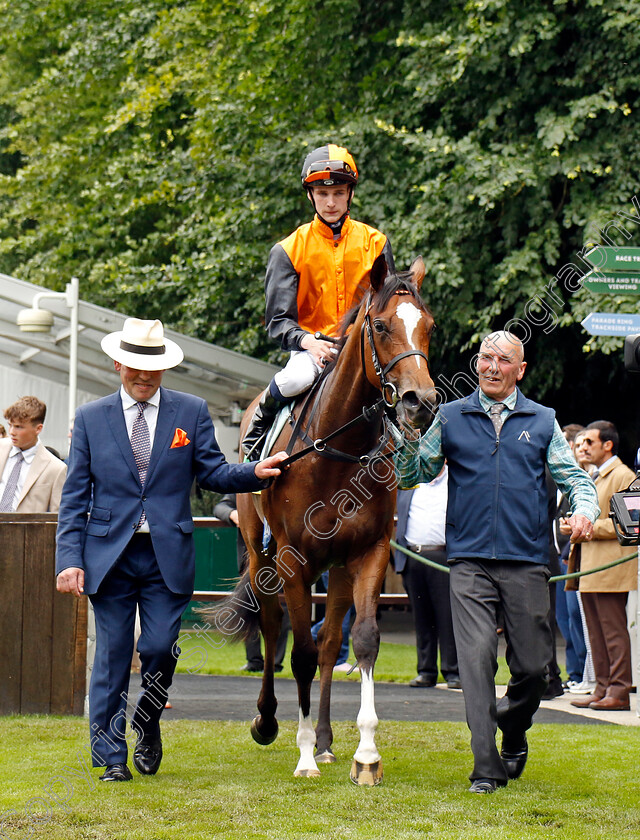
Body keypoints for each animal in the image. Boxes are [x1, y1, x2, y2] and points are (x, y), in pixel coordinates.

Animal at [220, 253, 436, 784]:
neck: (339, 450)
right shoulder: (293, 561)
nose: (421, 402)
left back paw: (323, 740)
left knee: (329, 640)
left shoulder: (369, 553)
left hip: (335, 568)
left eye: (429, 327)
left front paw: (366, 754)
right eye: (380, 326)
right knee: (272, 627)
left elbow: (362, 641)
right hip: (261, 555)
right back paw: (270, 722)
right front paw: (300, 756)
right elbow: (296, 651)